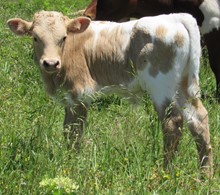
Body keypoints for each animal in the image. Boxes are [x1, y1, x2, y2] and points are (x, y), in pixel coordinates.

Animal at [7, 11, 213, 177]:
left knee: (172, 124)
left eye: (63, 37)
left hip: (162, 86)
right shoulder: (69, 98)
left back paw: (165, 172)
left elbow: (74, 131)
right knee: (198, 120)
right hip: (183, 85)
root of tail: (175, 17)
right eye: (35, 38)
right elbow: (66, 128)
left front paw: (72, 162)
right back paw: (204, 176)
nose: (50, 63)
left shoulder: (80, 92)